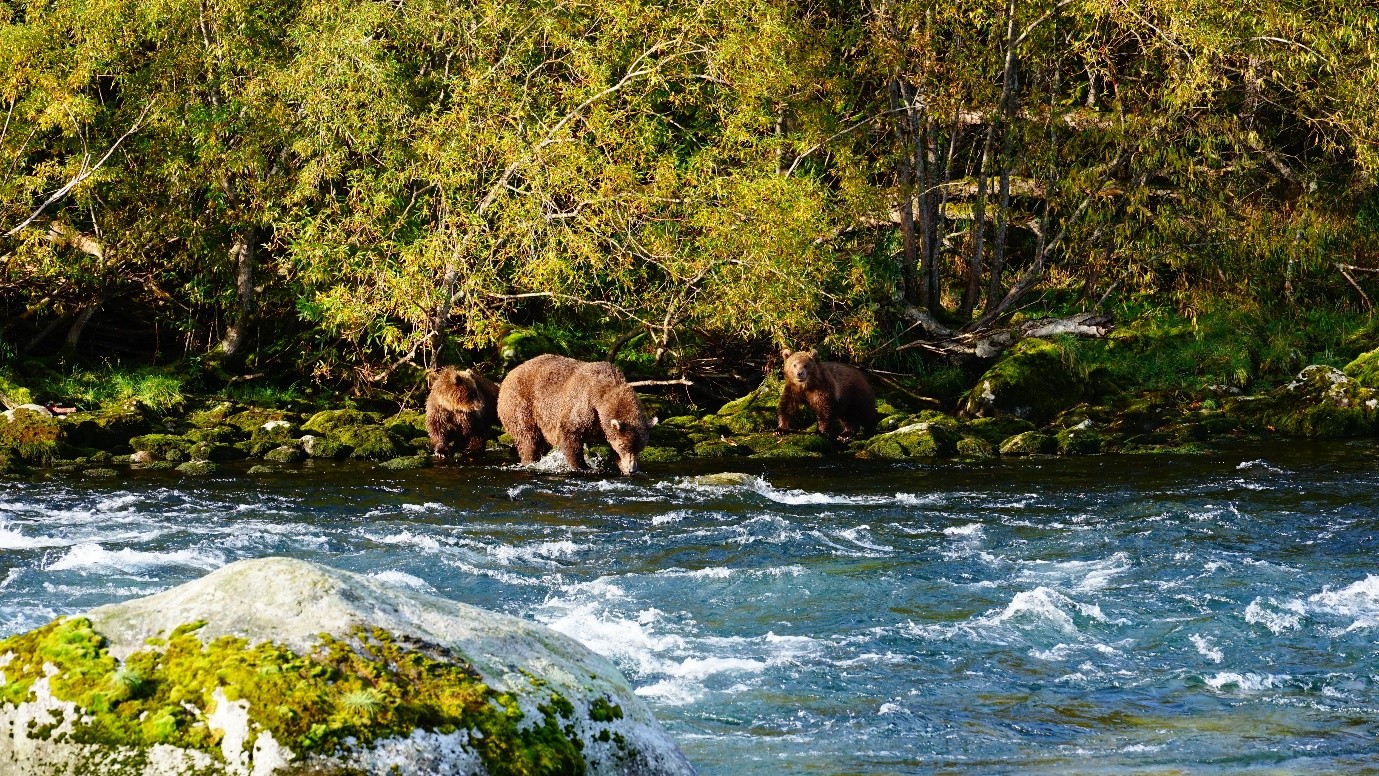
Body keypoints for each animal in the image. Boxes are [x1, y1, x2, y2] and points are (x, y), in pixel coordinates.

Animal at [499, 355, 659, 476]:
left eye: (640, 448)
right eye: (624, 446)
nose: (632, 470)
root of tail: (510, 374)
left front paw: (623, 466)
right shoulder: (584, 405)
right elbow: (570, 434)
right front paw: (584, 467)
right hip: (522, 403)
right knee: (528, 438)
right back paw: (529, 461)